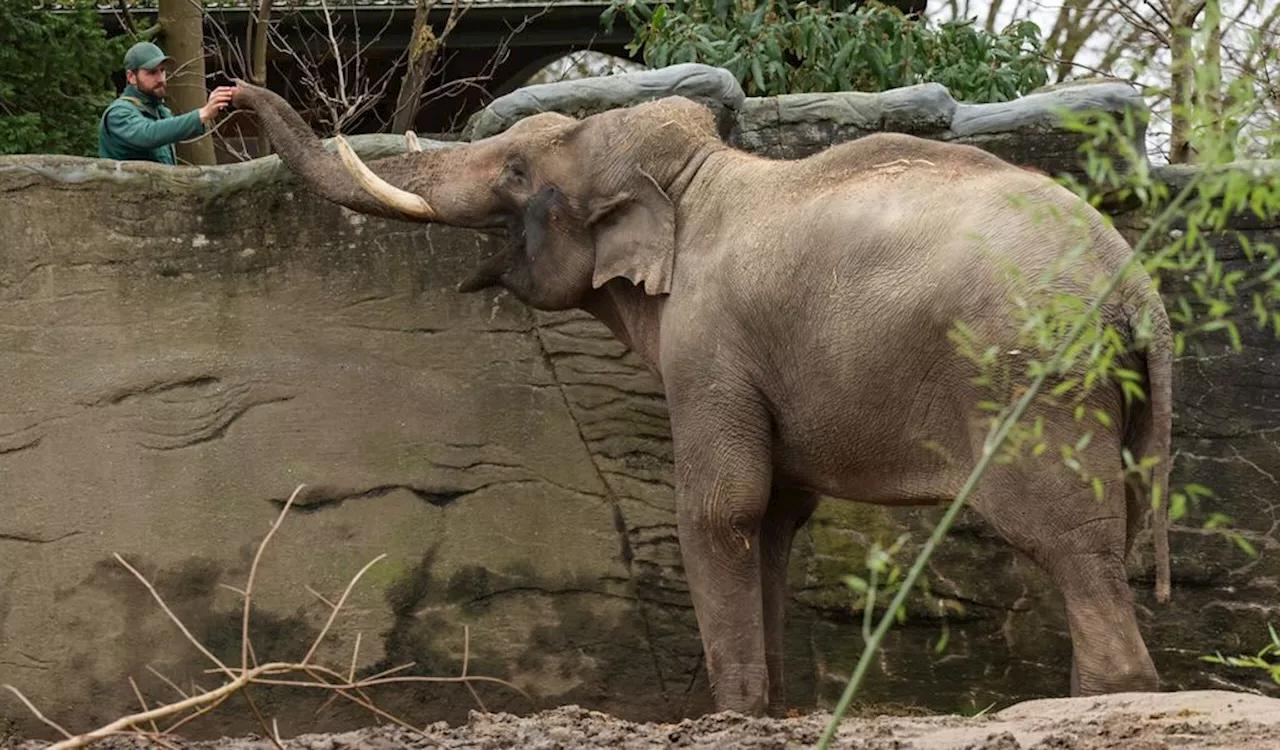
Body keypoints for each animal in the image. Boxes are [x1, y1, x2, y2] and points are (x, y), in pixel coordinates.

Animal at [227, 78, 1172, 716]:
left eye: (517, 169)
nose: (226, 96)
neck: (694, 178)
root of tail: (1136, 290)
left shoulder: (710, 343)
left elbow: (723, 506)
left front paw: (734, 712)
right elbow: (777, 518)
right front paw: (776, 709)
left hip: (1033, 376)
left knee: (1060, 530)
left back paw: (1107, 695)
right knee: (1114, 526)